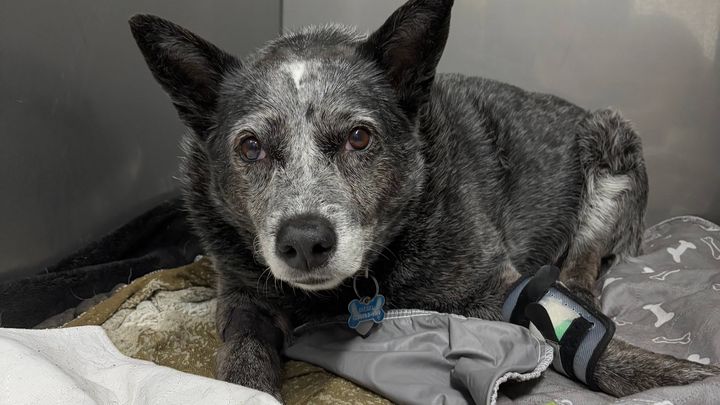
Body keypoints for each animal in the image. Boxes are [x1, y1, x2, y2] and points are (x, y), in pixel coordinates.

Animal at [129, 0, 718, 400]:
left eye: (359, 137)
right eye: (250, 147)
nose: (304, 242)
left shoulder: (501, 288)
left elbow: (590, 344)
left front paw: (682, 378)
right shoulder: (243, 297)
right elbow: (243, 360)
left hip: (613, 150)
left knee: (584, 263)